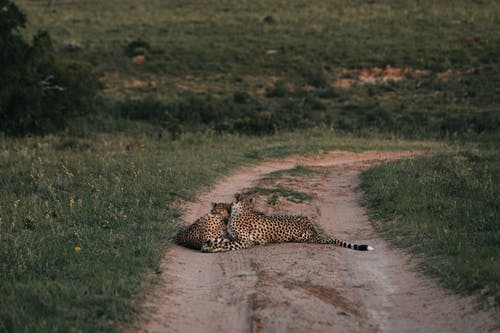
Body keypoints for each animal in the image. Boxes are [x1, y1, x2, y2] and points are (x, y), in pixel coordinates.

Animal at [201, 192, 374, 252]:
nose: (229, 205)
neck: (244, 209)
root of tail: (313, 229)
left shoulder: (245, 241)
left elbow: (228, 245)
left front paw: (212, 248)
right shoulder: (232, 237)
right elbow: (222, 240)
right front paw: (209, 245)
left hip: (299, 236)